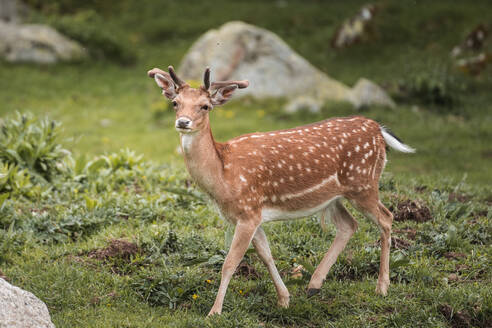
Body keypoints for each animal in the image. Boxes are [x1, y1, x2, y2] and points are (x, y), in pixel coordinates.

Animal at [147, 66, 416, 316]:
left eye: (205, 106)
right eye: (175, 103)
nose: (183, 122)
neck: (223, 176)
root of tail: (378, 130)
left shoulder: (248, 210)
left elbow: (230, 262)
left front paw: (214, 312)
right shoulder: (251, 215)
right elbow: (266, 255)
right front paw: (284, 299)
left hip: (363, 183)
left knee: (386, 217)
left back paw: (381, 287)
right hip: (334, 196)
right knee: (349, 224)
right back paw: (313, 285)